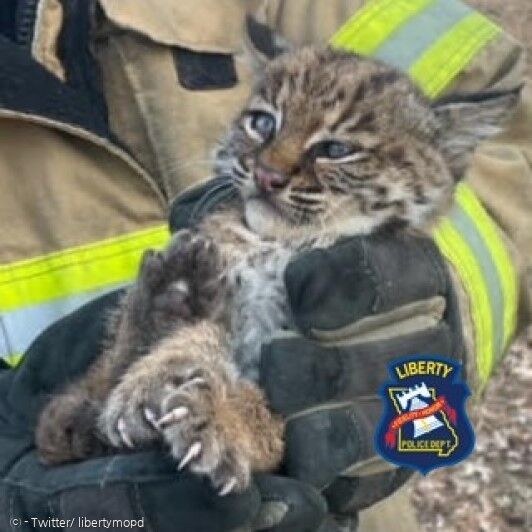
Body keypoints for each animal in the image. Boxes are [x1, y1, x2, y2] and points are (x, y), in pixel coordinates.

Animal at [36, 47, 516, 496]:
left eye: (336, 150)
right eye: (263, 123)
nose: (266, 175)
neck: (278, 245)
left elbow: (281, 418)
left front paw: (224, 418)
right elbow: (204, 333)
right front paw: (161, 373)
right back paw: (166, 300)